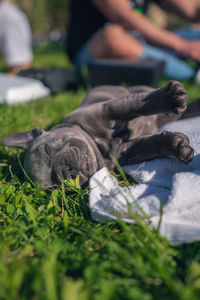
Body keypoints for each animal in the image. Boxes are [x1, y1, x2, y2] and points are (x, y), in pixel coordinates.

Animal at [1, 81, 200, 186]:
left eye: (48, 151)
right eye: (56, 186)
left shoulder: (106, 110)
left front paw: (167, 100)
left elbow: (136, 105)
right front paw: (177, 145)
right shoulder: (126, 152)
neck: (98, 145)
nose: (65, 173)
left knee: (141, 95)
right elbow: (152, 145)